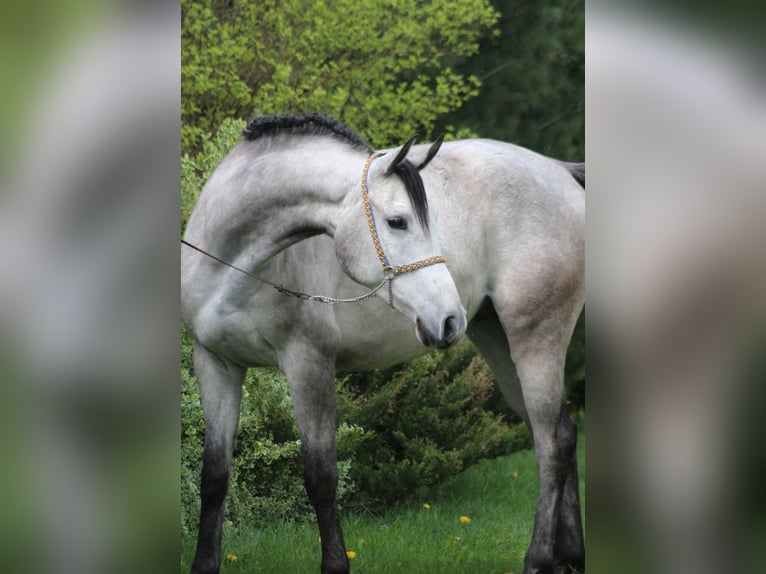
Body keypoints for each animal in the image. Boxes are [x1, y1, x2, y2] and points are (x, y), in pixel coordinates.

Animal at [182, 113, 588, 574]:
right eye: (398, 221)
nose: (450, 319)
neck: (232, 266)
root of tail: (558, 170)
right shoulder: (215, 364)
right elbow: (215, 476)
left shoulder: (308, 364)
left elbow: (321, 477)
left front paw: (335, 565)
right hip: (498, 342)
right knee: (562, 433)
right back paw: (570, 557)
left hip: (535, 340)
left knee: (550, 444)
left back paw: (538, 559)